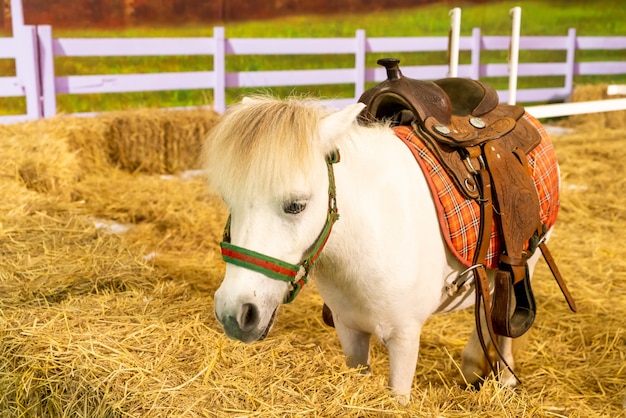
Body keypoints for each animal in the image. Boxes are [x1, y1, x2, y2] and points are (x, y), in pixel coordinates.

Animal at [205, 95, 556, 404]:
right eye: (228, 201)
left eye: (296, 205)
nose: (235, 314)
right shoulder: (350, 331)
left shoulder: (405, 338)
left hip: (524, 264)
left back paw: (505, 377)